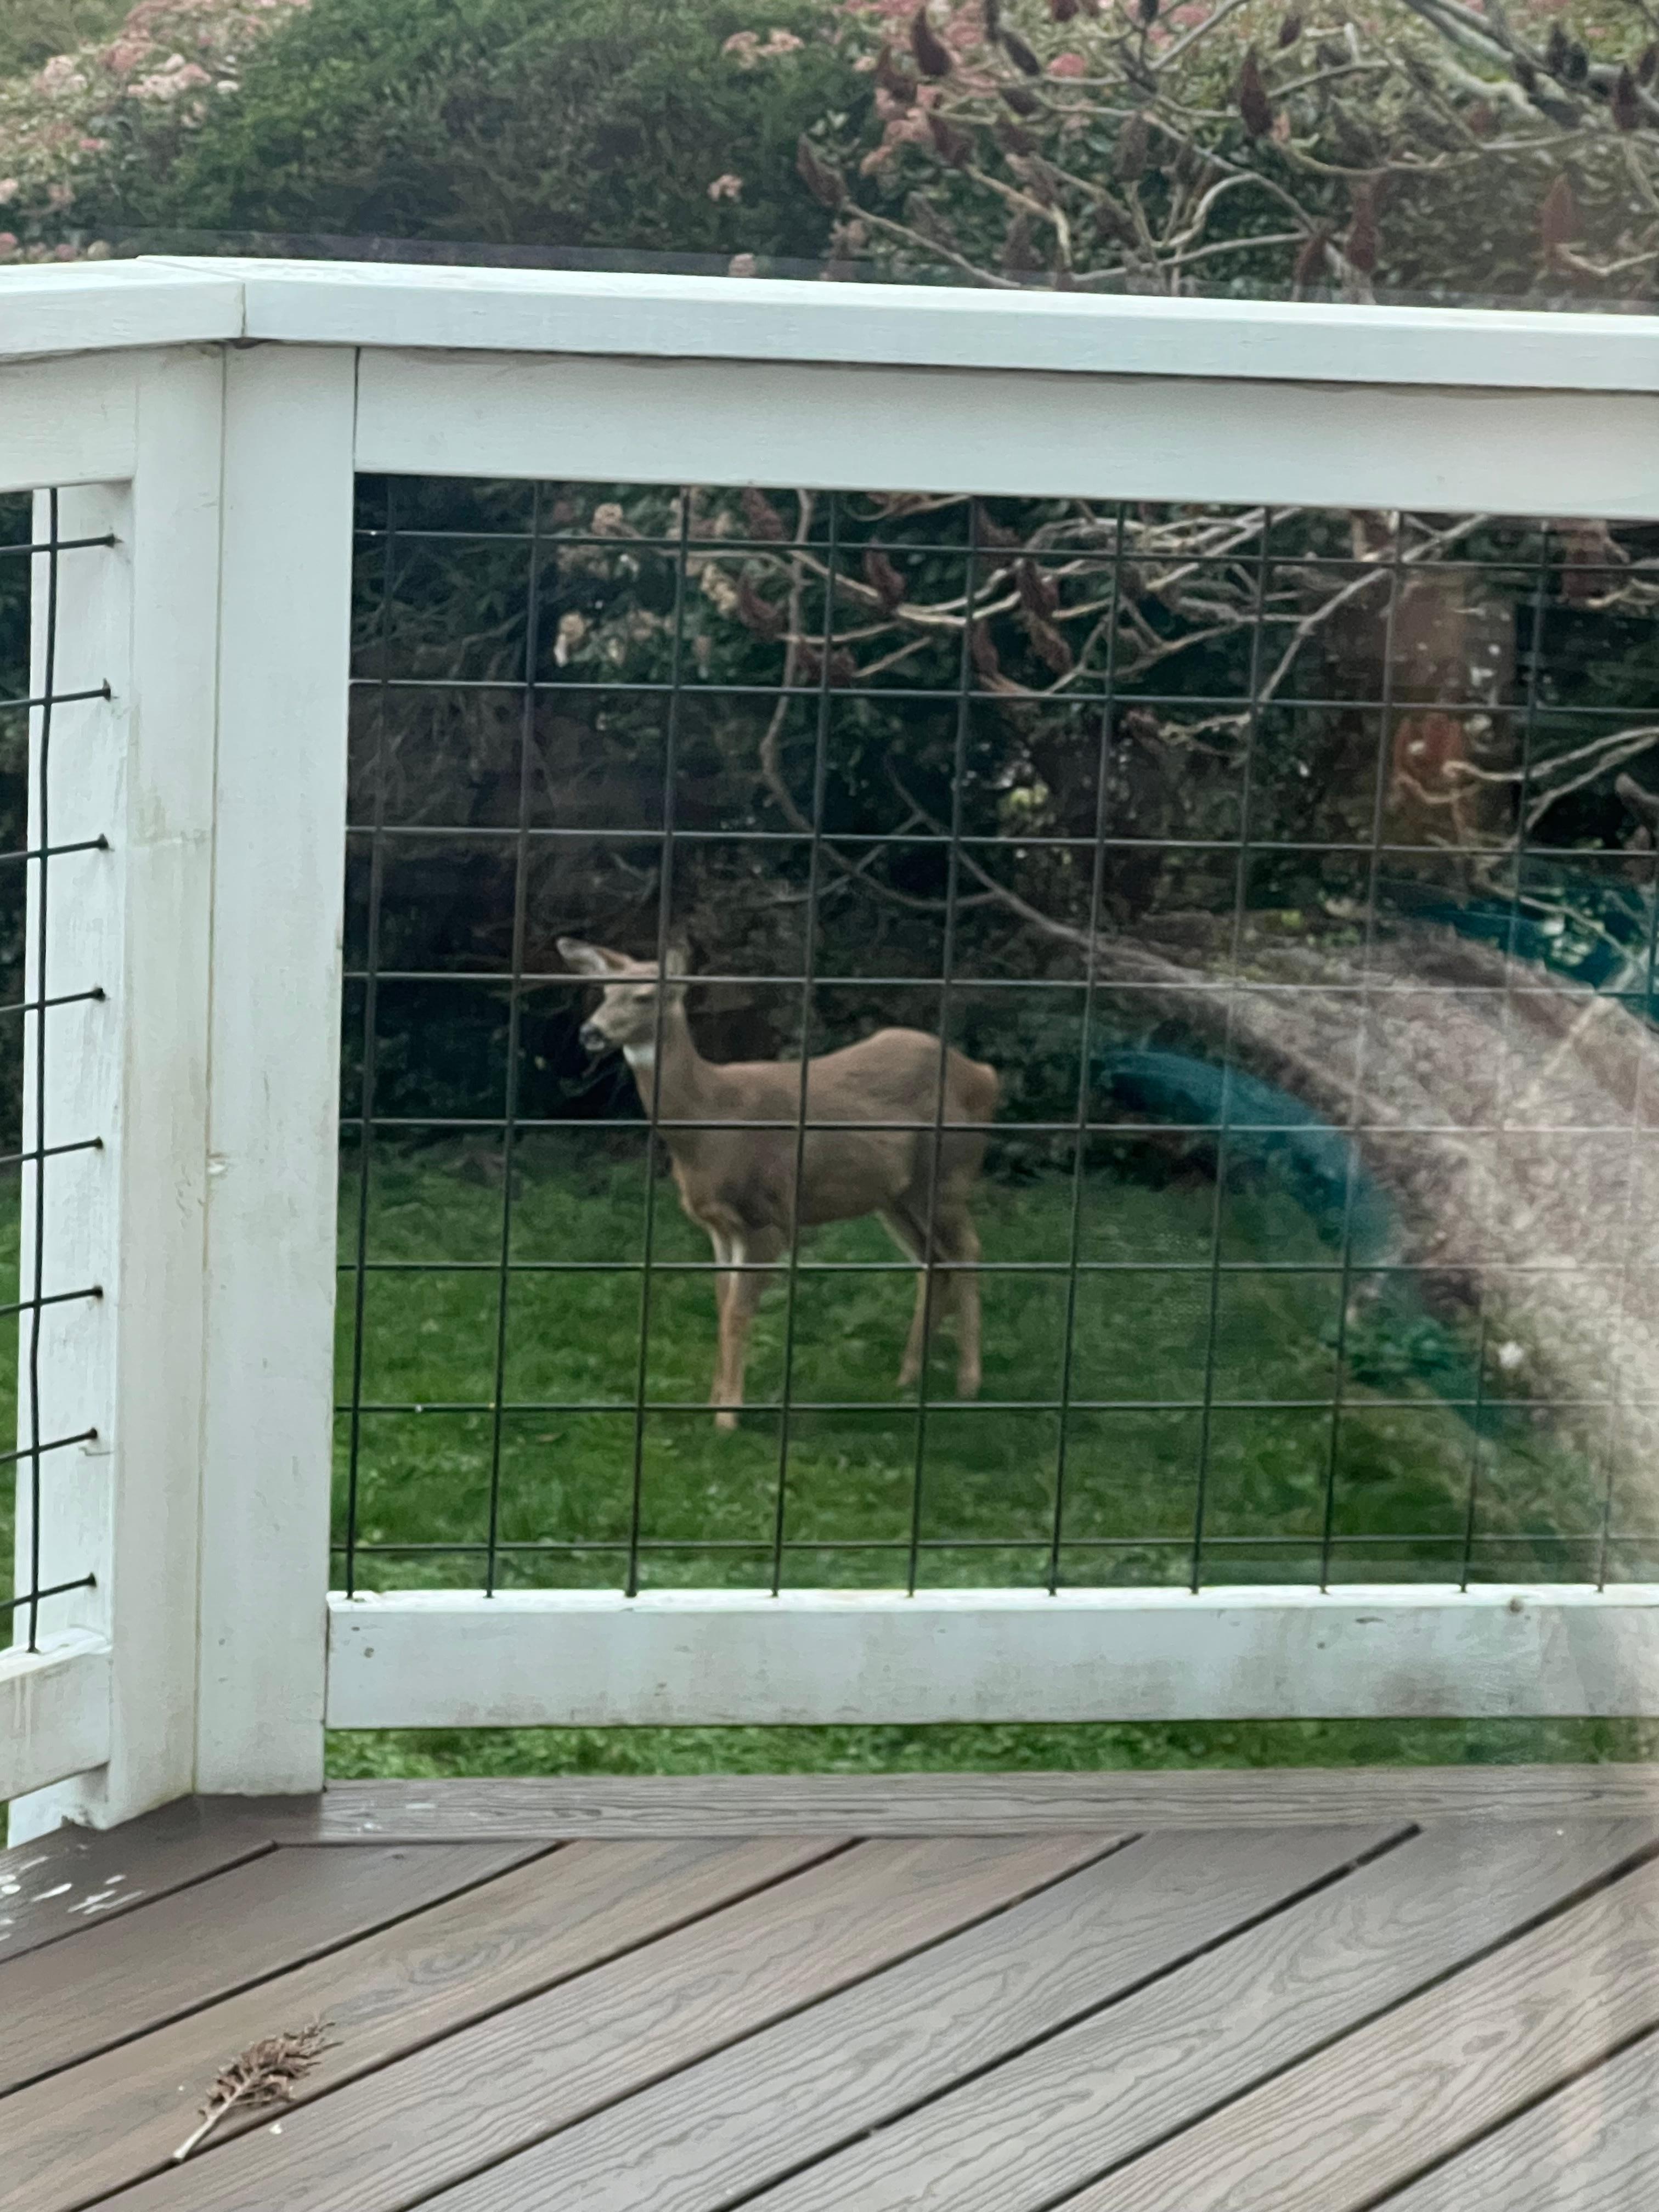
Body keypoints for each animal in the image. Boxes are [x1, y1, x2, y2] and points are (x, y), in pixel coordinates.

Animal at [559, 938, 999, 1430]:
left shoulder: (766, 1217)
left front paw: (728, 1417)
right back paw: (907, 1378)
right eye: (605, 991)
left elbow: (737, 1311)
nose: (590, 1032)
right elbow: (722, 1301)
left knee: (968, 1251)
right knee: (932, 1261)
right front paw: (714, 1400)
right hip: (896, 1196)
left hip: (948, 1173)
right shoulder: (719, 1226)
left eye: (644, 997)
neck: (711, 1121)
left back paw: (968, 1384)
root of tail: (986, 1075)